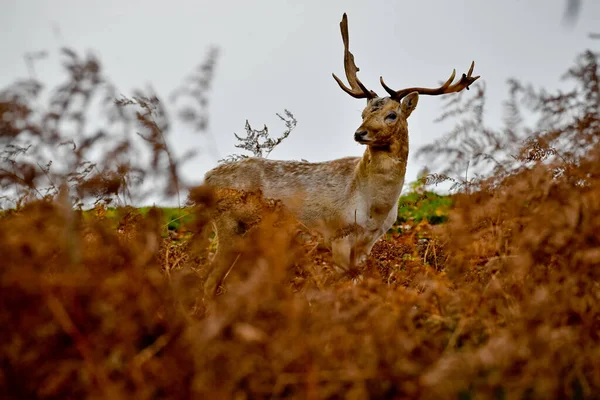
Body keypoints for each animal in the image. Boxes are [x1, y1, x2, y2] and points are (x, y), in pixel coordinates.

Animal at [200, 12, 478, 296]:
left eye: (391, 115)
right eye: (363, 113)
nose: (360, 133)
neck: (373, 206)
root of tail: (206, 178)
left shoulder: (368, 242)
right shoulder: (337, 233)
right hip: (230, 228)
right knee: (208, 280)